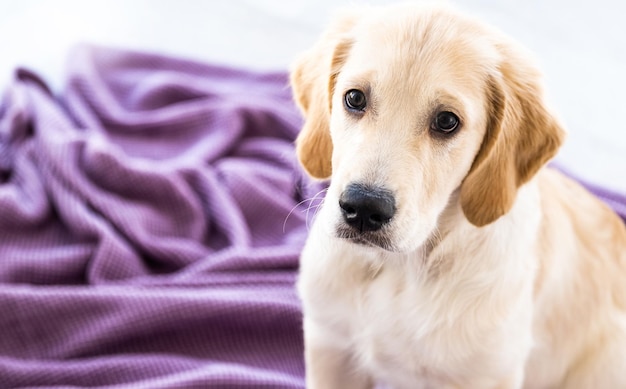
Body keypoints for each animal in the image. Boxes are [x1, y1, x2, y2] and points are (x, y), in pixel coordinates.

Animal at [290, 3, 624, 388]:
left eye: (447, 122)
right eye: (355, 98)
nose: (363, 207)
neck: (400, 269)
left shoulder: (488, 375)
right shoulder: (330, 344)